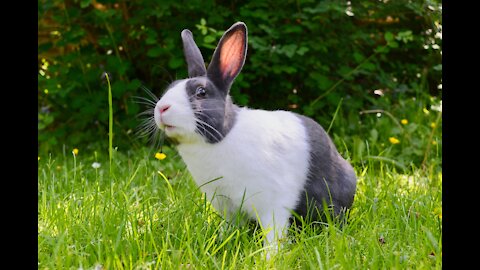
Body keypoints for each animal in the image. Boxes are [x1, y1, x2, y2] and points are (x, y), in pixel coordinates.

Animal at [153, 21, 356, 255]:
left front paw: (268, 257)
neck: (222, 137)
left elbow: (274, 234)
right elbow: (229, 228)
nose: (161, 108)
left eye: (201, 92)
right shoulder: (226, 204)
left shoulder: (273, 203)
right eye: (170, 87)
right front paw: (218, 244)